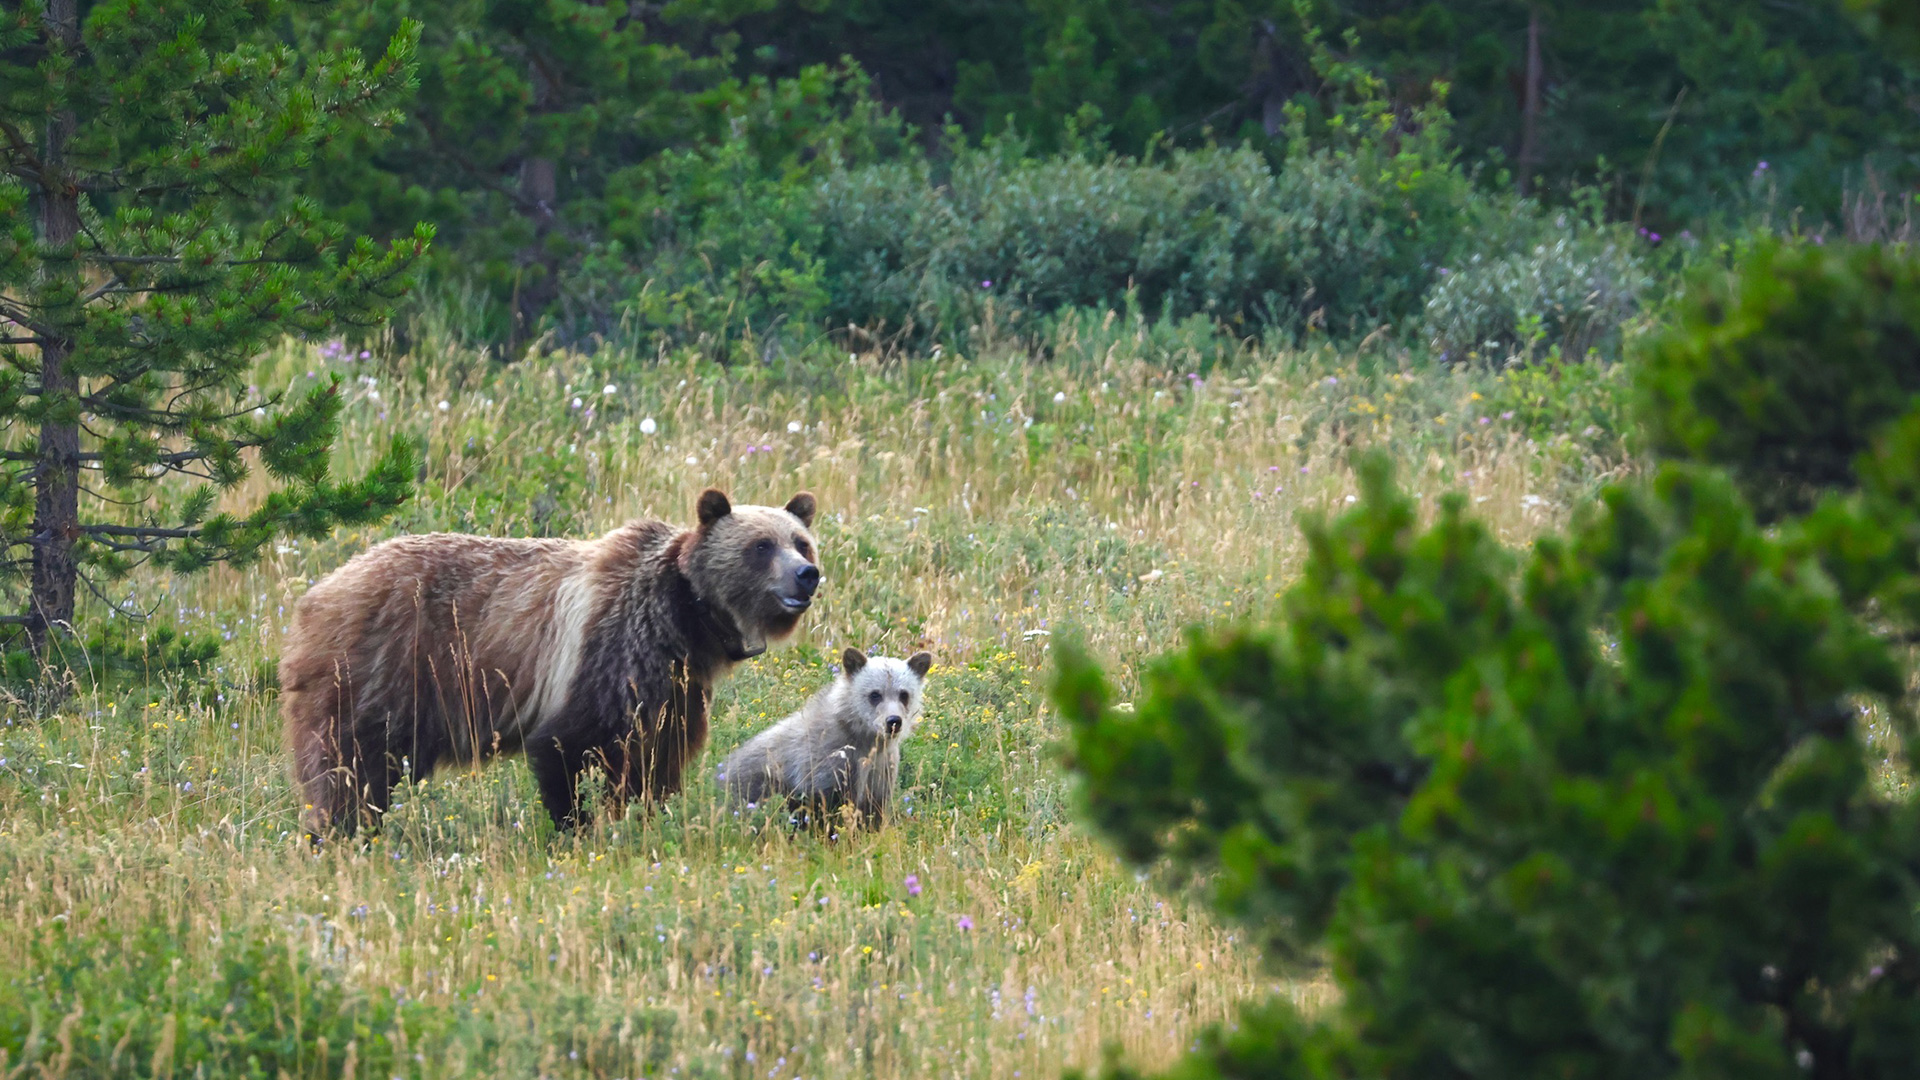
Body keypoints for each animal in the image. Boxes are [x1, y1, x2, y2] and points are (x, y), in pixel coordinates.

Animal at [279, 488, 820, 841]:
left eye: (800, 540)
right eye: (760, 546)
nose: (807, 575)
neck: (686, 616)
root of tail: (313, 598)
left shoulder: (675, 683)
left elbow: (657, 756)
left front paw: (645, 816)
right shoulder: (606, 651)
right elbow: (568, 746)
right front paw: (577, 829)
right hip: (379, 671)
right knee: (348, 768)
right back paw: (341, 833)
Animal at [720, 647, 933, 831]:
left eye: (904, 694)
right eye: (875, 694)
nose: (893, 722)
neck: (863, 739)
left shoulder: (880, 771)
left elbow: (873, 812)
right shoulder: (824, 763)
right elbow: (824, 807)